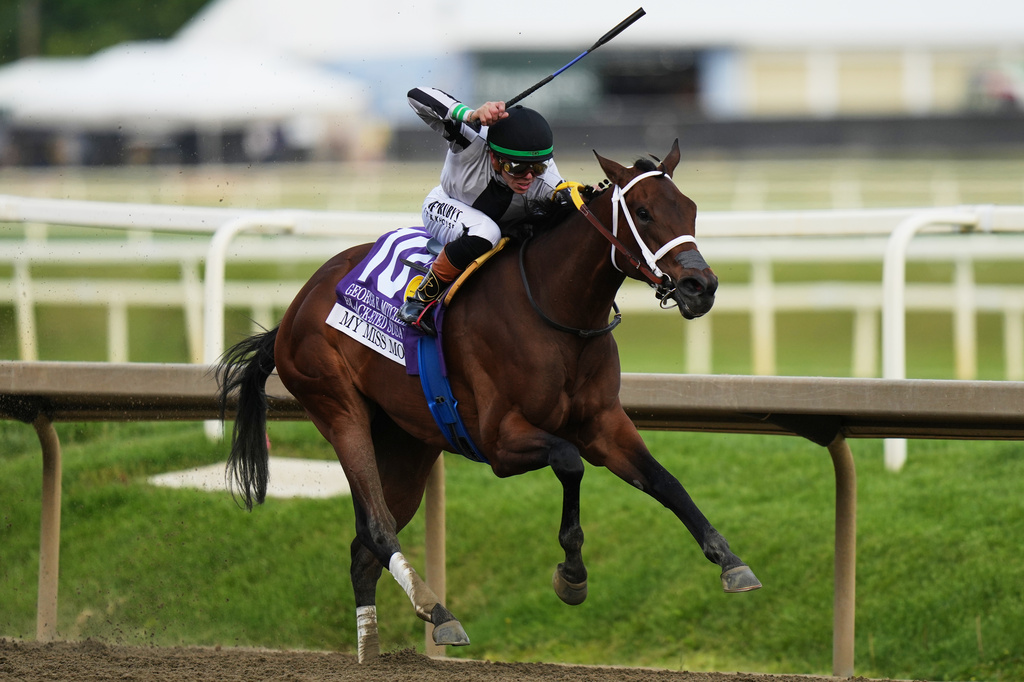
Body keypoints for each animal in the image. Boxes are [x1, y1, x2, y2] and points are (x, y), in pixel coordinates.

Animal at [216, 140, 761, 662]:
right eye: (644, 212)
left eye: (690, 208)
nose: (701, 287)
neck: (557, 313)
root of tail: (295, 308)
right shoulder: (500, 441)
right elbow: (569, 462)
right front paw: (572, 575)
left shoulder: (605, 425)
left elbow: (666, 482)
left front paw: (731, 562)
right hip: (336, 406)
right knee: (378, 525)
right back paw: (438, 612)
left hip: (408, 441)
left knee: (362, 549)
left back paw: (370, 649)